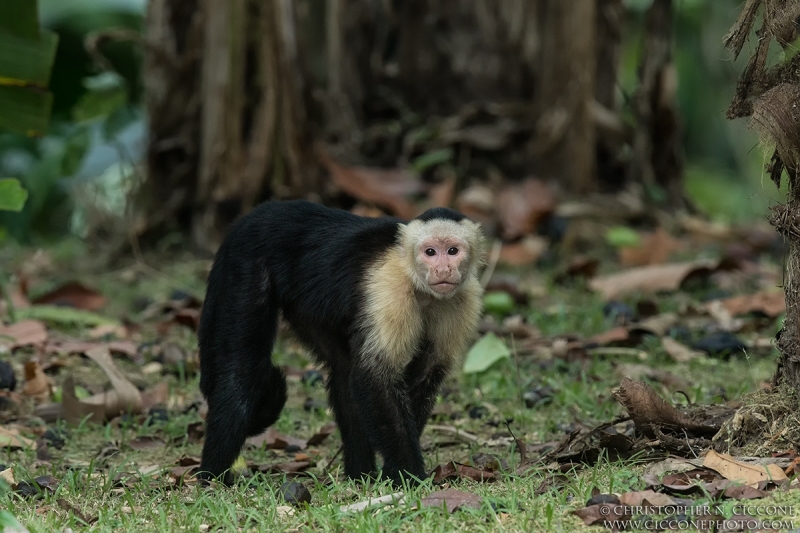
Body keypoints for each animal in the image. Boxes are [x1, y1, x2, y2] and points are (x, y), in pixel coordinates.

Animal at [198, 200, 488, 486]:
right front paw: (409, 476)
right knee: (242, 376)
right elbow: (374, 377)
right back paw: (213, 478)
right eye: (430, 252)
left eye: (452, 251)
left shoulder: (464, 299)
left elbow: (426, 371)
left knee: (343, 369)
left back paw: (360, 475)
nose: (443, 269)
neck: (418, 285)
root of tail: (254, 216)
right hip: (246, 266)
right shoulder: (389, 290)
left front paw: (392, 471)